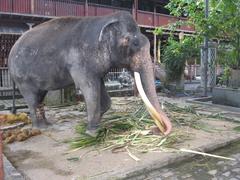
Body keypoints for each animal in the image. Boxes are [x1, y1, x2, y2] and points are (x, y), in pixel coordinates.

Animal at [8, 11, 172, 135]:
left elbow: (101, 90)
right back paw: (39, 128)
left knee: (40, 96)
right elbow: (89, 88)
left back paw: (47, 124)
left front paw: (96, 123)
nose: (159, 130)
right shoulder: (79, 60)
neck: (106, 18)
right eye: (133, 43)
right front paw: (91, 132)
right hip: (22, 78)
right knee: (32, 99)